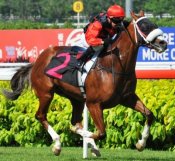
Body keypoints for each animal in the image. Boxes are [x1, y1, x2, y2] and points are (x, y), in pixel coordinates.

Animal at [2, 10, 167, 157]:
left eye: (154, 24)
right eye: (144, 26)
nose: (164, 43)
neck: (114, 65)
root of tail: (38, 60)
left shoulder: (127, 98)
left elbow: (149, 114)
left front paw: (141, 144)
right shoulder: (94, 103)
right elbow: (101, 133)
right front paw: (80, 137)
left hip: (77, 99)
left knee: (75, 120)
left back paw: (89, 145)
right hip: (46, 93)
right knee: (41, 116)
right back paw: (57, 145)